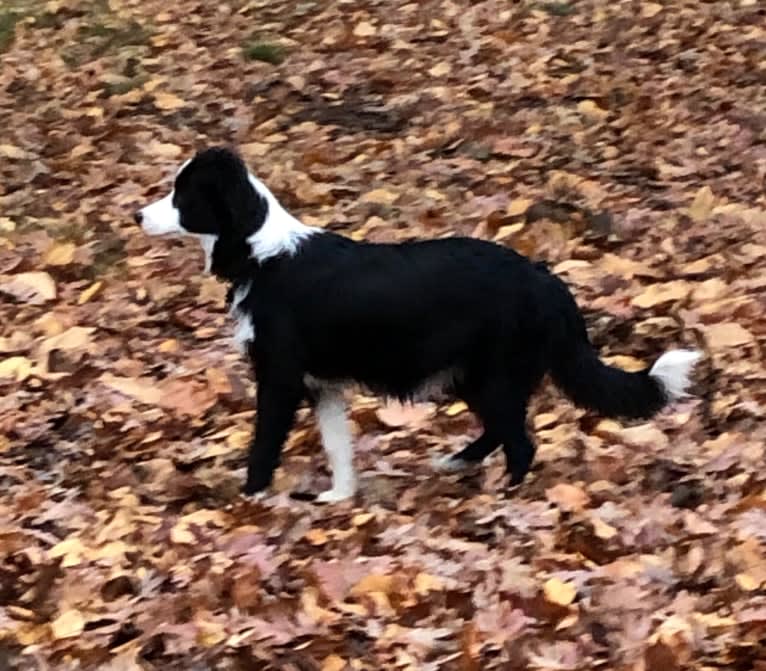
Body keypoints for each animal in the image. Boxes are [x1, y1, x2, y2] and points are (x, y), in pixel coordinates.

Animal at [136, 148, 704, 504]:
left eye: (183, 194)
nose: (138, 216)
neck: (261, 252)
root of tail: (547, 281)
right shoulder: (322, 386)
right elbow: (338, 448)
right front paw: (338, 498)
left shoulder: (279, 377)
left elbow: (264, 444)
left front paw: (248, 500)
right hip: (475, 376)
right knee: (502, 430)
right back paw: (457, 463)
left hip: (490, 374)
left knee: (520, 441)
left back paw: (507, 492)